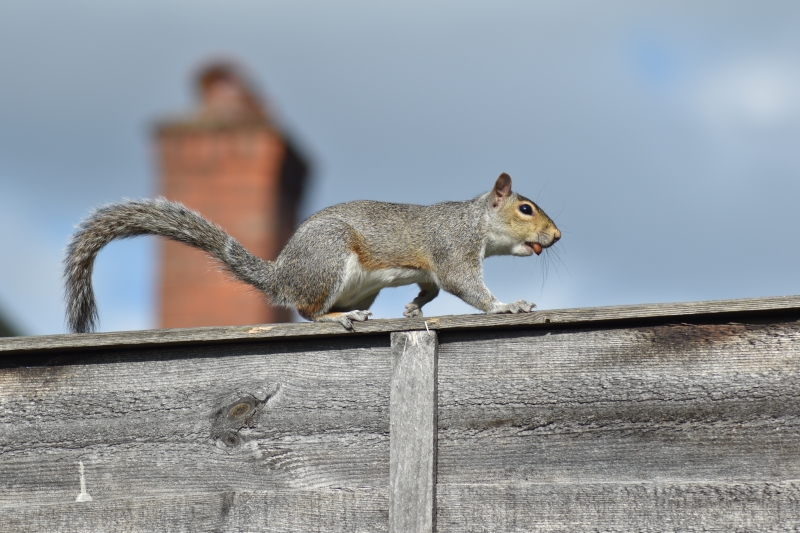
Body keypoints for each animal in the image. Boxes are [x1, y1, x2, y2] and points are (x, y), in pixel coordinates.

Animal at [64, 172, 564, 332]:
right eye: (525, 208)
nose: (557, 236)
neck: (474, 222)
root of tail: (281, 274)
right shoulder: (453, 251)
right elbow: (467, 288)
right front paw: (508, 305)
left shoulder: (431, 268)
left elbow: (432, 289)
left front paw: (412, 307)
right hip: (329, 261)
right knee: (306, 311)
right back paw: (338, 316)